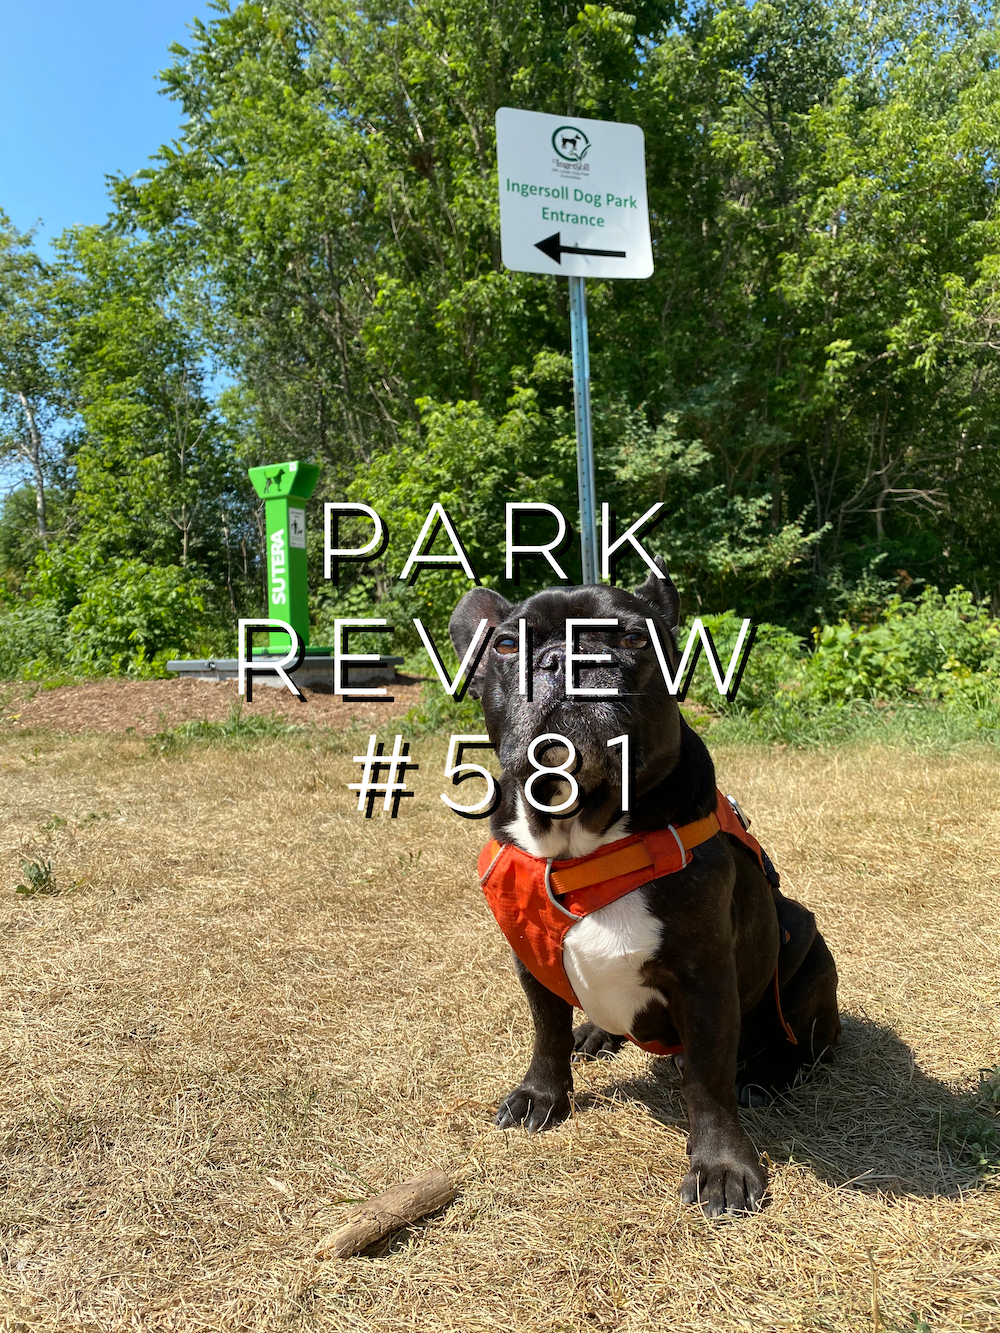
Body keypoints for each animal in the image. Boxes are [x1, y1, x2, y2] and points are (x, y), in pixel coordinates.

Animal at [449, 559, 840, 1215]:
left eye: (634, 638)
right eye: (506, 645)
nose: (564, 658)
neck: (582, 841)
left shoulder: (705, 977)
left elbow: (707, 1079)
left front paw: (723, 1167)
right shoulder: (530, 959)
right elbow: (546, 1032)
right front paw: (541, 1096)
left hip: (808, 953)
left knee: (798, 1041)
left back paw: (765, 1077)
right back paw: (596, 1032)